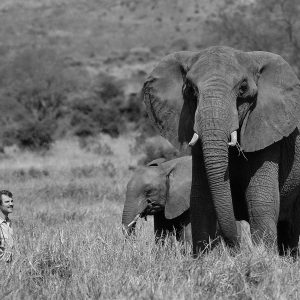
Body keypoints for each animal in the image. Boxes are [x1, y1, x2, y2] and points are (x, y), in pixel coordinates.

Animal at [142, 45, 300, 256]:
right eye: (190, 89)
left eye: (242, 89)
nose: (238, 248)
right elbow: (200, 199)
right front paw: (204, 258)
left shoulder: (268, 135)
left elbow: (260, 201)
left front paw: (263, 257)